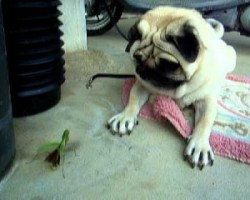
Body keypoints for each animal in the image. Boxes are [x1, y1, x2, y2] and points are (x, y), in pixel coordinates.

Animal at [106, 5, 235, 170]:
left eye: (168, 64)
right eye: (137, 58)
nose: (146, 70)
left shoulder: (206, 99)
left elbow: (205, 120)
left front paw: (199, 145)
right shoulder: (142, 84)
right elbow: (133, 100)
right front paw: (125, 117)